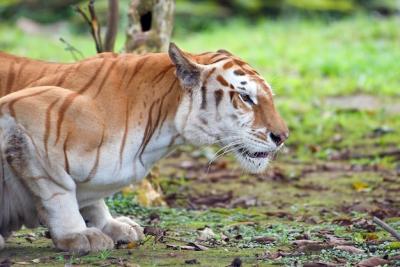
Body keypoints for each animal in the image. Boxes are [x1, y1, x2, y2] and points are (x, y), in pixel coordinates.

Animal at [0, 43, 290, 253]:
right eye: (245, 97)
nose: (283, 136)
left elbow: (92, 199)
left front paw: (112, 225)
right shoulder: (22, 115)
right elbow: (59, 191)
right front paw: (77, 234)